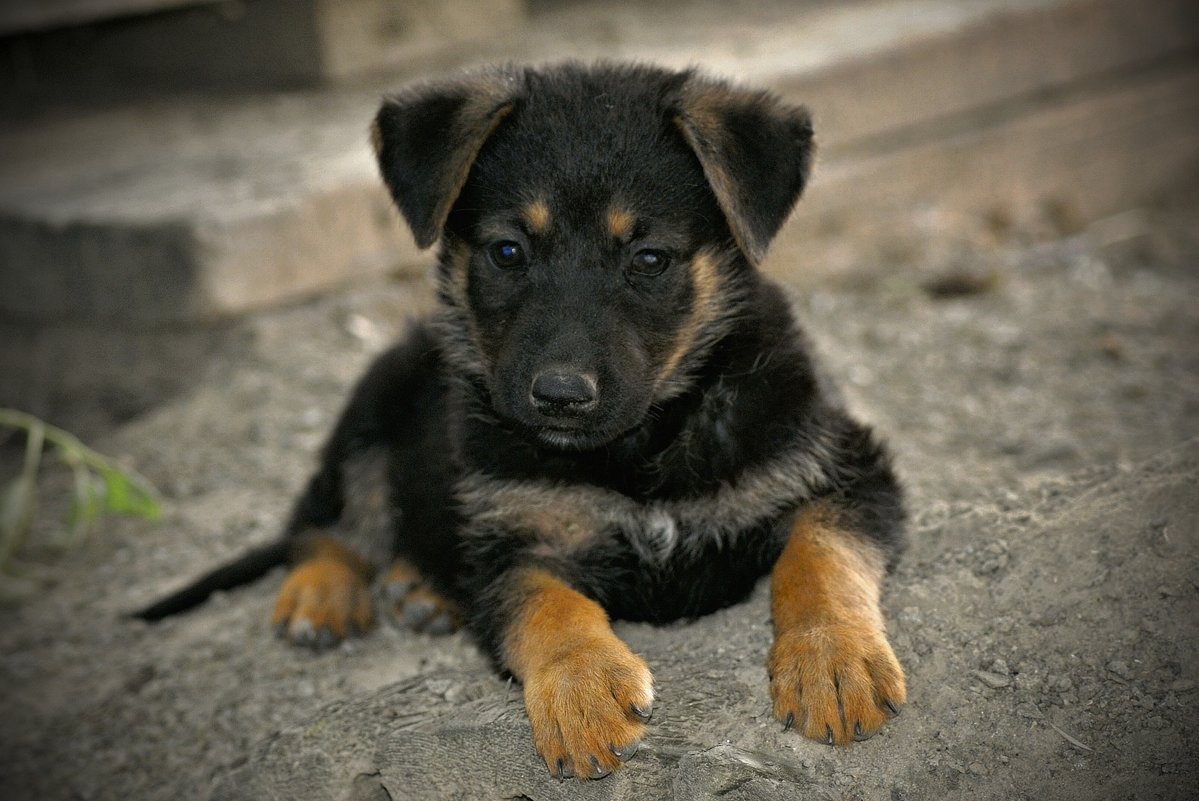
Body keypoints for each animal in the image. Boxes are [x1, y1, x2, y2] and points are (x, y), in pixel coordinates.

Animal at [137, 64, 906, 781]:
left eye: (649, 258)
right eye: (508, 251)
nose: (559, 395)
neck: (640, 447)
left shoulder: (845, 465)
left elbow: (819, 556)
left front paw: (833, 659)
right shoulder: (507, 538)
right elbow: (546, 605)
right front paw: (583, 688)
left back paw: (417, 589)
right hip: (371, 403)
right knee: (326, 521)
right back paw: (322, 593)